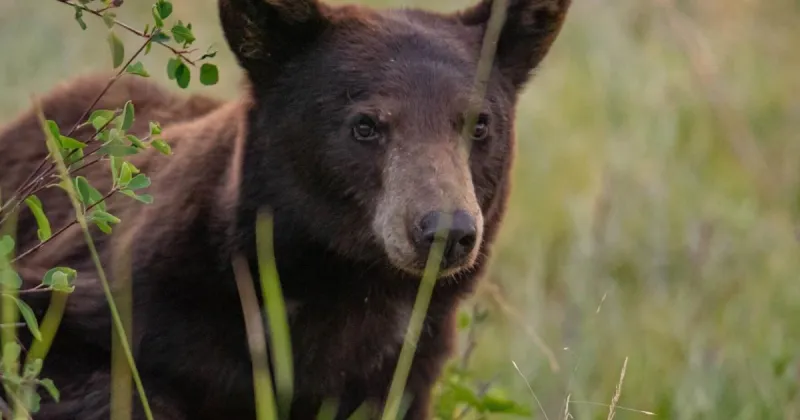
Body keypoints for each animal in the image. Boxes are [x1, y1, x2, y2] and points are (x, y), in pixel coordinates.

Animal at [0, 0, 571, 418]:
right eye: (366, 125)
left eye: (479, 124)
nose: (445, 231)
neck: (341, 287)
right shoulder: (118, 295)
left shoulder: (408, 361)